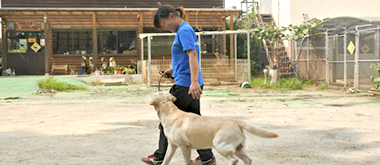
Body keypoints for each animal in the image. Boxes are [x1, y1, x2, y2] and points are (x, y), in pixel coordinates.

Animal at [150, 91, 278, 164]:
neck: (169, 110)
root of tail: (236, 121)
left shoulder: (185, 146)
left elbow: (187, 162)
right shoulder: (172, 146)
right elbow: (165, 160)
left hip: (220, 145)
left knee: (234, 160)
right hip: (238, 148)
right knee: (247, 160)